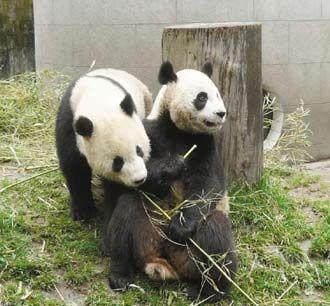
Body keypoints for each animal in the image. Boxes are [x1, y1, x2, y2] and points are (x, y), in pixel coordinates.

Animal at [54, 68, 151, 220]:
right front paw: (83, 212)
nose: (139, 179)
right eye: (117, 162)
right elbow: (74, 168)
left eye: (139, 150)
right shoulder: (68, 121)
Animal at [105, 61, 237, 302]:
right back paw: (120, 276)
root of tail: (168, 262)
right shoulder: (150, 132)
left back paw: (208, 291)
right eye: (202, 97)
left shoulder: (206, 145)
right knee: (126, 213)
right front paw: (170, 167)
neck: (180, 131)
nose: (221, 113)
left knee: (216, 235)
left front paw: (180, 226)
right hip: (148, 228)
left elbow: (209, 183)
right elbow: (131, 175)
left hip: (192, 253)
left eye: (218, 94)